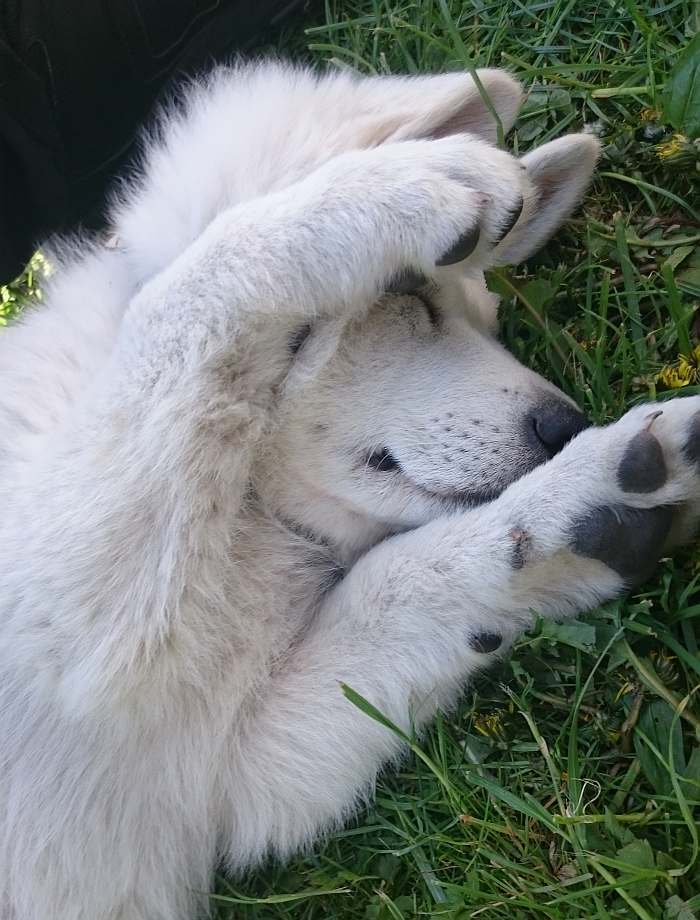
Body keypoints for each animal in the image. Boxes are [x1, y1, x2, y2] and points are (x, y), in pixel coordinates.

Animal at [1, 61, 700, 916]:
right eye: (408, 295)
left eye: (492, 322)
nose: (564, 427)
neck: (246, 513)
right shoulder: (50, 598)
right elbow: (187, 289)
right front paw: (399, 187)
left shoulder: (231, 780)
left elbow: (388, 585)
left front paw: (583, 513)